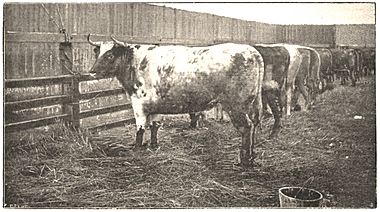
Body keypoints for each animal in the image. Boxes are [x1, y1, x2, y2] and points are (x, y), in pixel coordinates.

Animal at [87, 34, 264, 166]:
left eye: (109, 55)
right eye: (97, 53)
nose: (92, 72)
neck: (136, 63)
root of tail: (252, 52)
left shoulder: (139, 104)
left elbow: (140, 129)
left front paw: (136, 150)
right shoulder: (154, 105)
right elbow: (154, 126)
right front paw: (154, 146)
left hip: (236, 106)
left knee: (246, 127)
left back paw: (244, 160)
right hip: (253, 104)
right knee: (254, 124)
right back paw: (252, 156)